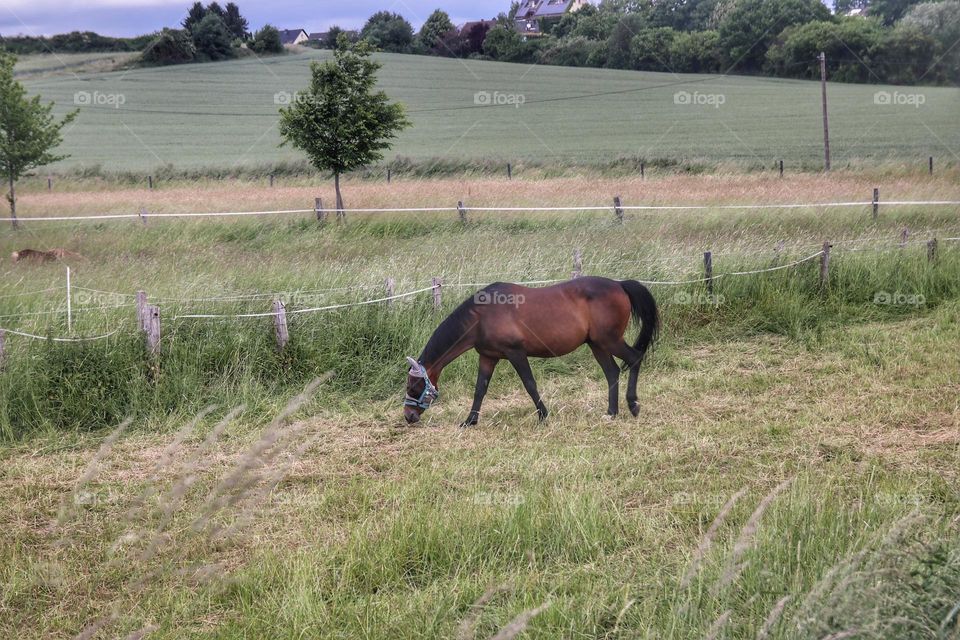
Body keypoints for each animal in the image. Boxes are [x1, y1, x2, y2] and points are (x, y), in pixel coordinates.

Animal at [403, 276, 659, 427]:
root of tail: (619, 283)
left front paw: (543, 416)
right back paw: (611, 412)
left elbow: (529, 384)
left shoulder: (516, 353)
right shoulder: (488, 357)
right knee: (612, 372)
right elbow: (480, 389)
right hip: (597, 345)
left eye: (414, 387)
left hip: (610, 341)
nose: (408, 416)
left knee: (635, 358)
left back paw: (633, 405)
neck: (482, 317)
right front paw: (470, 420)